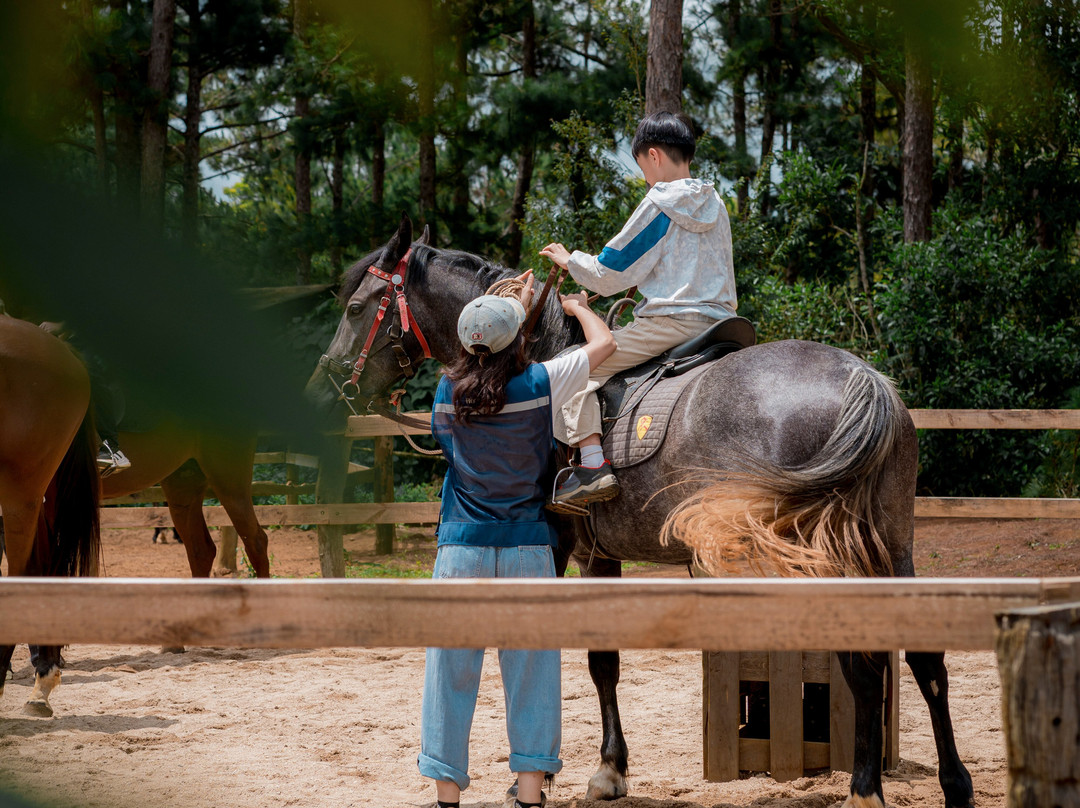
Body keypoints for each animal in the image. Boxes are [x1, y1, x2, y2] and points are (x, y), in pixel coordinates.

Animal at [304, 215, 974, 808]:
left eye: (357, 307)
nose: (322, 390)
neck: (531, 357)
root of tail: (863, 378)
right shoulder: (597, 554)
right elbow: (604, 661)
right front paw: (607, 770)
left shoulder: (554, 545)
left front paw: (551, 777)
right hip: (890, 541)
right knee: (924, 659)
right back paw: (954, 784)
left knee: (863, 663)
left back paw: (865, 788)